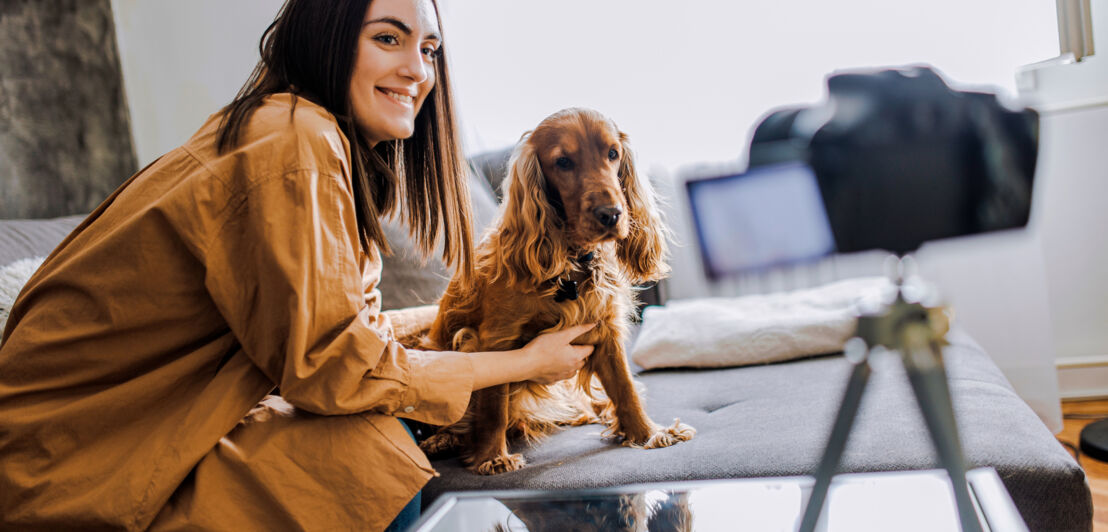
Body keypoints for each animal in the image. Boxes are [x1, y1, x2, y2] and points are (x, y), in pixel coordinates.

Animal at [418, 108, 695, 474]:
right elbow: (493, 407)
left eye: (612, 153)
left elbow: (625, 388)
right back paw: (443, 438)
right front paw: (493, 457)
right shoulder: (495, 338)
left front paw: (646, 433)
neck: (572, 261)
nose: (611, 215)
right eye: (563, 162)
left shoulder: (604, 330)